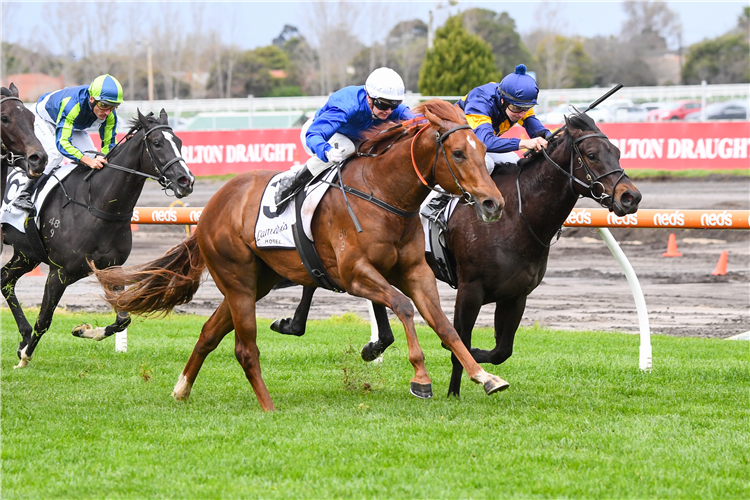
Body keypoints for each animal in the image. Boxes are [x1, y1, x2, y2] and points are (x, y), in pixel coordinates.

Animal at [0, 109, 194, 368]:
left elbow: (123, 318)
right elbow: (44, 319)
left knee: (4, 280)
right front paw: (25, 357)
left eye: (180, 143)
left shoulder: (111, 267)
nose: (186, 180)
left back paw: (23, 336)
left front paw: (84, 330)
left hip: (26, 254)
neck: (96, 205)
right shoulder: (59, 272)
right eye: (157, 143)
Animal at [94, 98, 508, 410]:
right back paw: (268, 407)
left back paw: (181, 389)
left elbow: (444, 325)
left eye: (484, 150)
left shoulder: (414, 271)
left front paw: (485, 376)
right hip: (237, 280)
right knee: (245, 348)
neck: (383, 193)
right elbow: (404, 307)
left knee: (209, 333)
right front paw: (420, 378)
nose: (494, 203)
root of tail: (210, 208)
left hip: (254, 282)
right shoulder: (354, 274)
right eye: (458, 153)